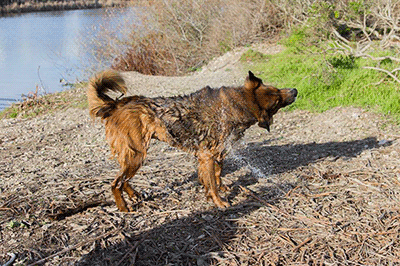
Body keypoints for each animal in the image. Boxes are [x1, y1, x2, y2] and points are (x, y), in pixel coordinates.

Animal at [87, 70, 296, 212]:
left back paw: (134, 195)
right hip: (137, 155)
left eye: (277, 89)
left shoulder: (216, 153)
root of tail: (116, 104)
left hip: (133, 156)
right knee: (115, 183)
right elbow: (212, 183)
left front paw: (220, 187)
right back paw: (123, 207)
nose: (294, 90)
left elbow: (217, 174)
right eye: (277, 101)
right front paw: (219, 201)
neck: (237, 104)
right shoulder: (207, 156)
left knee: (123, 179)